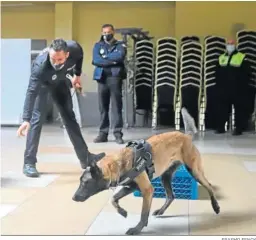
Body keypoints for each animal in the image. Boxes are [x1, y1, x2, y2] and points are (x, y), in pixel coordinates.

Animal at [72, 108, 220, 235]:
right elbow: (113, 199)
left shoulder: (147, 190)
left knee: (209, 186)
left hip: (194, 171)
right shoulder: (131, 187)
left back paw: (216, 207)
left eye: (85, 182)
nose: (73, 198)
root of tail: (186, 136)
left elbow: (143, 213)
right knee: (171, 196)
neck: (119, 163)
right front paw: (122, 212)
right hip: (165, 176)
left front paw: (137, 228)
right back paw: (161, 210)